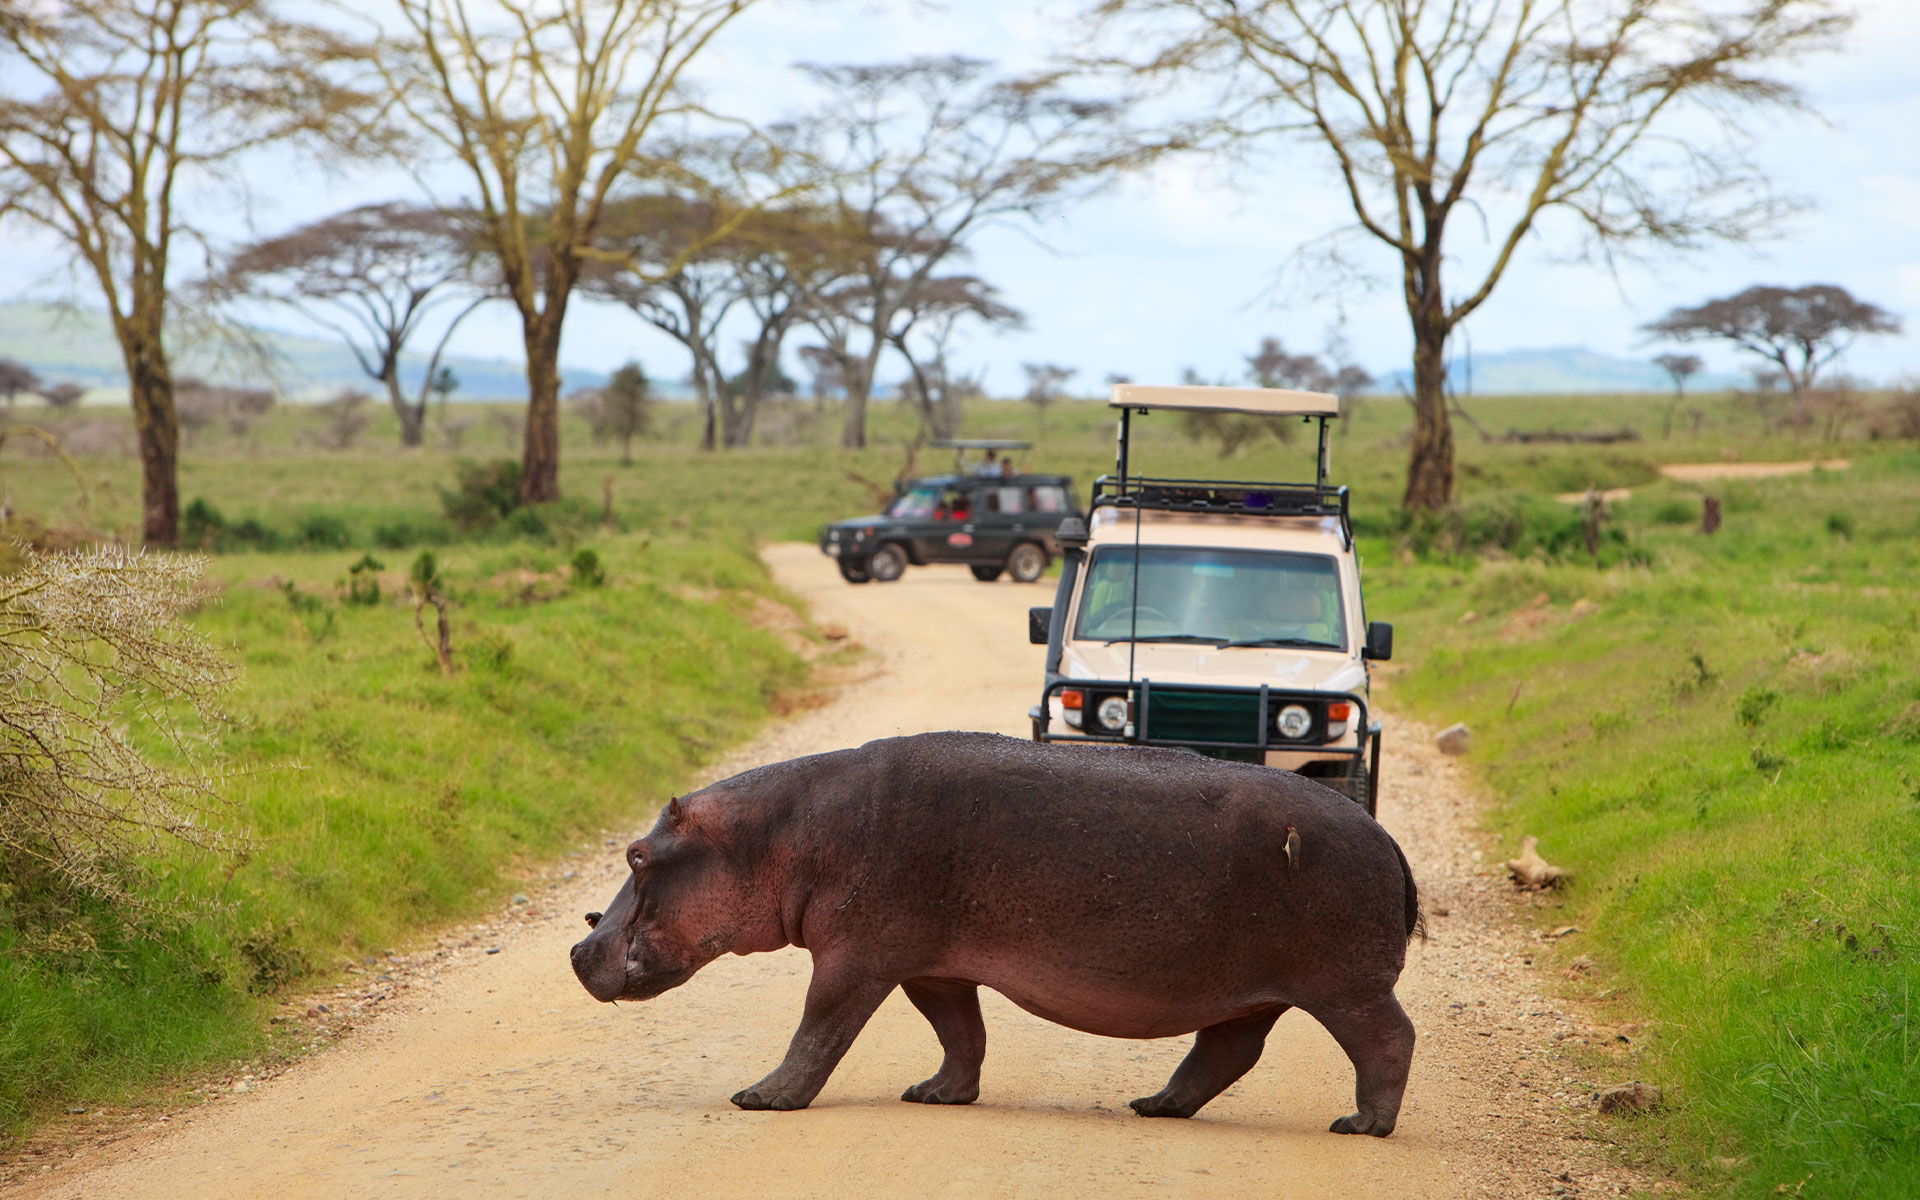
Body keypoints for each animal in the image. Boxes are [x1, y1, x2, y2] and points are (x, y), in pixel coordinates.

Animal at [560, 729, 1420, 1128]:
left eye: (639, 855)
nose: (577, 948)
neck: (777, 834)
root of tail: (1389, 840)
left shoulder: (856, 958)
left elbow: (819, 1028)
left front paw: (758, 1099)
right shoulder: (931, 966)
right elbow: (960, 1032)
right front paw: (936, 1095)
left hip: (1344, 984)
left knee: (1388, 1039)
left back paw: (1361, 1125)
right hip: (1256, 991)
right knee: (1227, 1049)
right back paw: (1153, 1106)